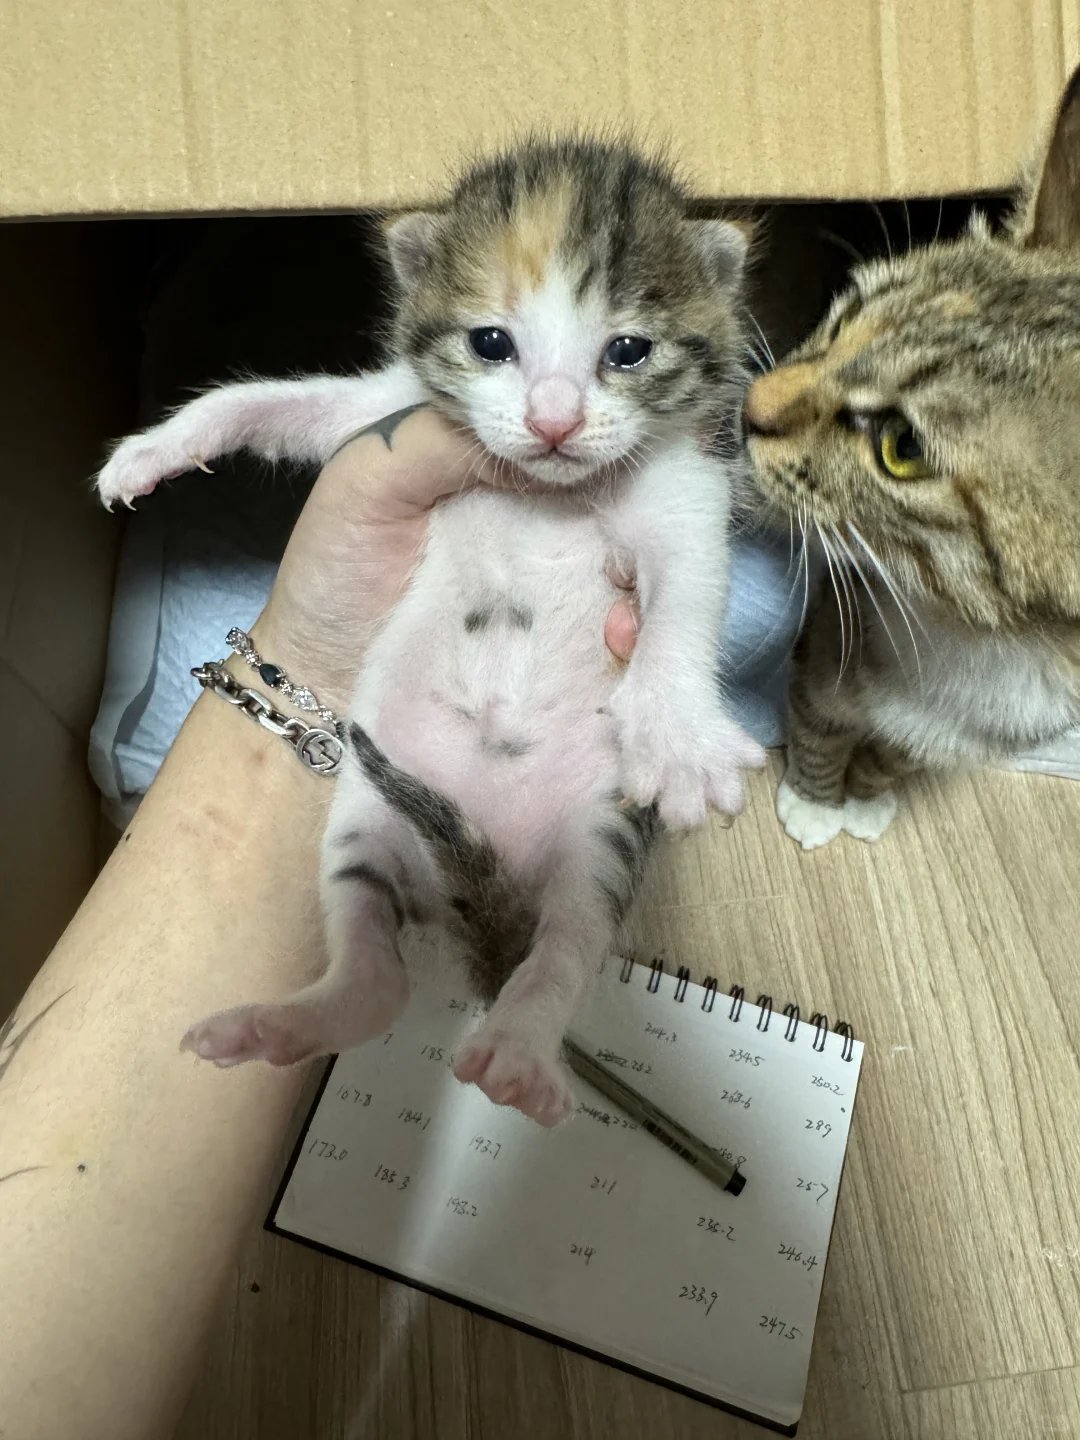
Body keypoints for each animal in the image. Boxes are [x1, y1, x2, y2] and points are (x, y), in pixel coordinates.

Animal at [97, 138, 766, 1124]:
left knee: (566, 948)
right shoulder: (384, 418)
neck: (548, 490)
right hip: (369, 821)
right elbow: (277, 402)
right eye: (492, 342)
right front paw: (155, 449)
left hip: (598, 836)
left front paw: (678, 738)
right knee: (377, 975)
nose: (555, 420)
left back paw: (519, 1053)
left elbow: (685, 593)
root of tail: (495, 872)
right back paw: (286, 1023)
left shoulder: (682, 488)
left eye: (627, 351)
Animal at [742, 67, 1080, 852]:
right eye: (845, 314)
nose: (750, 406)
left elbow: (898, 755)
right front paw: (815, 798)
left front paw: (865, 793)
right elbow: (820, 716)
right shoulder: (829, 638)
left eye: (902, 448)